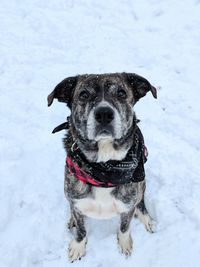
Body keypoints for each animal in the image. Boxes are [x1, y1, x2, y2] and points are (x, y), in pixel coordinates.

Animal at [47, 72, 157, 262]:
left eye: (121, 93)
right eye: (83, 94)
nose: (104, 114)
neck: (105, 166)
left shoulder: (127, 205)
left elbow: (124, 227)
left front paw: (124, 244)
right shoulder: (76, 201)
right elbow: (81, 231)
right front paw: (78, 247)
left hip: (142, 182)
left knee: (141, 201)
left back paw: (146, 217)